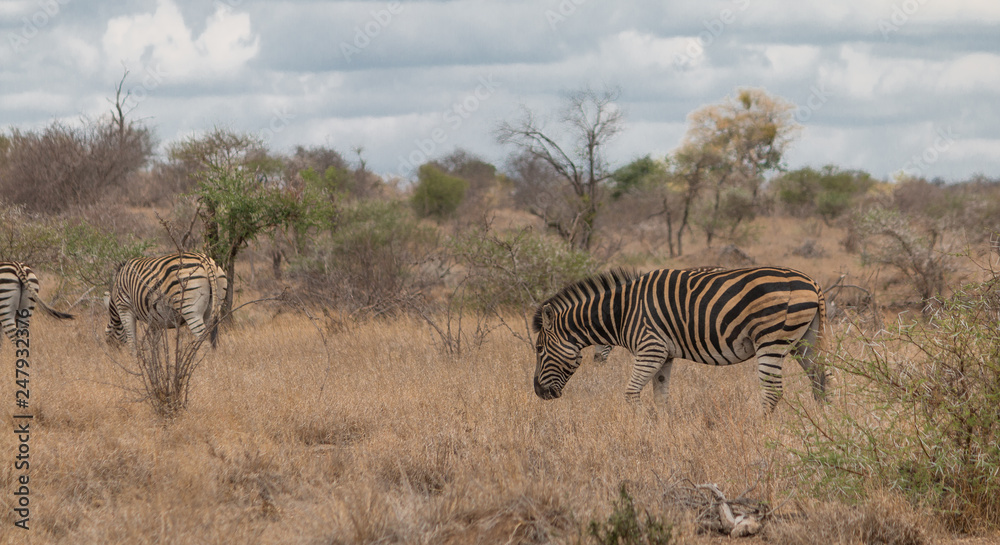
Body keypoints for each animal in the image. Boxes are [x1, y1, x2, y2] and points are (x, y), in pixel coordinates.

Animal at [532, 266, 828, 412]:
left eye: (539, 349)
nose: (538, 392)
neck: (622, 313)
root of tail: (812, 283)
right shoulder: (665, 355)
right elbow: (661, 397)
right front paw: (665, 431)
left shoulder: (651, 348)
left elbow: (631, 393)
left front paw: (645, 427)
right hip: (805, 342)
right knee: (820, 381)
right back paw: (824, 422)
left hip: (771, 341)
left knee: (773, 391)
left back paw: (758, 426)